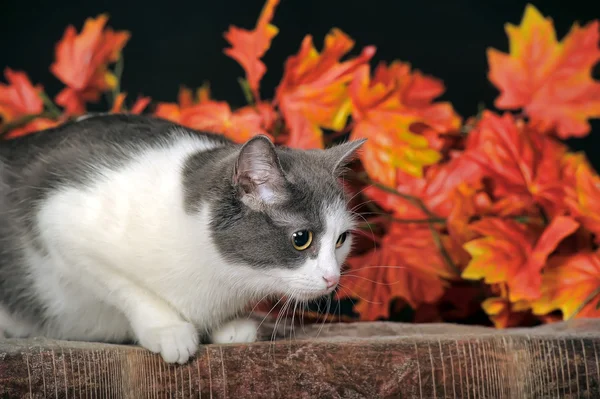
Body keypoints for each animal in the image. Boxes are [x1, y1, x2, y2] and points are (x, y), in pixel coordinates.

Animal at [0, 114, 366, 364]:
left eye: (341, 239)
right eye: (301, 238)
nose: (333, 279)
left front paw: (228, 325)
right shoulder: (59, 222)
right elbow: (126, 286)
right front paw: (168, 329)